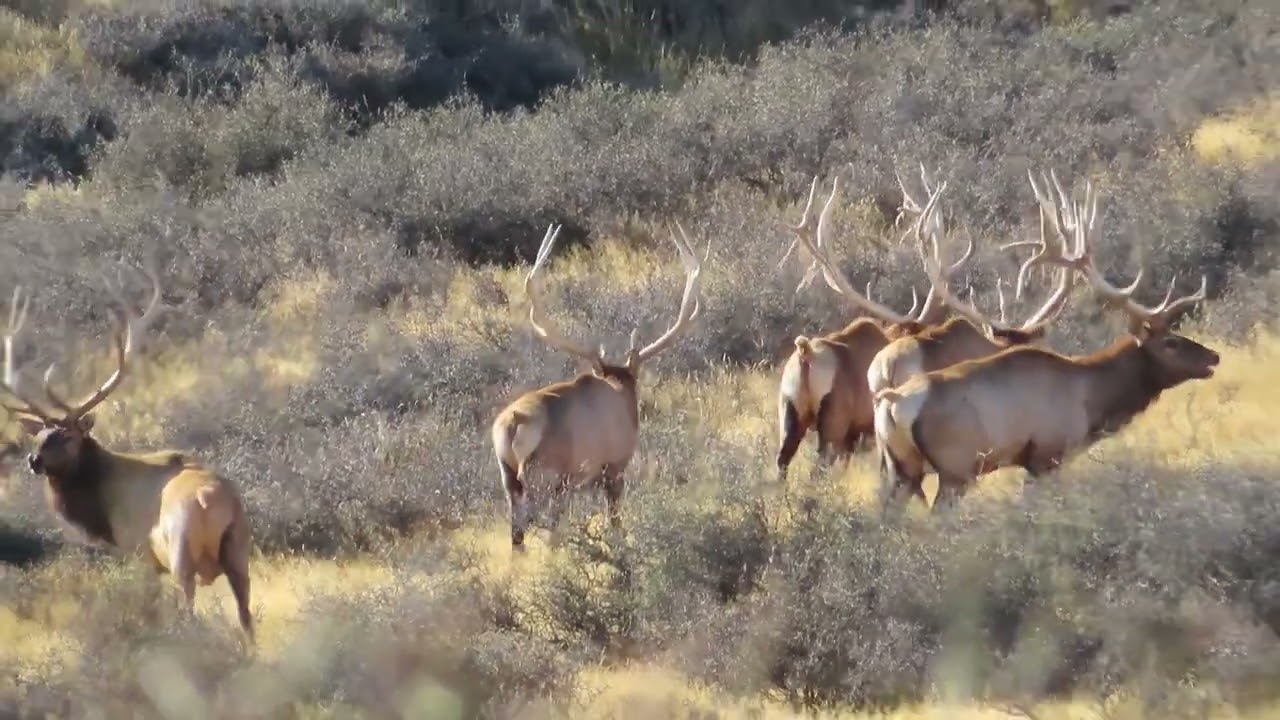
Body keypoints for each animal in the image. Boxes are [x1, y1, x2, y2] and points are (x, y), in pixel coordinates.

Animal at [1, 267, 255, 644]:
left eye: (68, 435)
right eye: (41, 434)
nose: (34, 461)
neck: (101, 506)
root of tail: (211, 500)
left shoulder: (138, 552)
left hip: (181, 553)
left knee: (190, 608)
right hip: (239, 548)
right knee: (245, 615)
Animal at [491, 221, 705, 551]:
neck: (619, 386)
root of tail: (514, 423)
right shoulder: (614, 466)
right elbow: (615, 520)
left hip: (509, 476)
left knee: (517, 537)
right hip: (549, 476)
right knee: (546, 529)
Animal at [774, 170, 977, 484]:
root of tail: (805, 352)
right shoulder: (861, 431)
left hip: (789, 411)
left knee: (781, 461)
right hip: (832, 420)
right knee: (818, 466)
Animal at [873, 173, 1219, 514]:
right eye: (1171, 342)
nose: (1213, 357)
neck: (1090, 399)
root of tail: (891, 402)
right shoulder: (1047, 454)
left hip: (901, 469)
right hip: (956, 468)